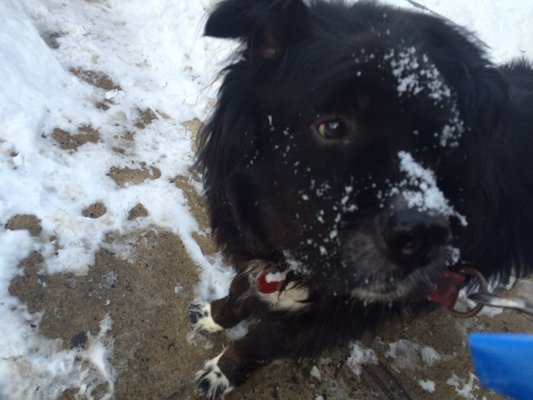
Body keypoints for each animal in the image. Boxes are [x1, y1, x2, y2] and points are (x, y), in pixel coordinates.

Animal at [187, 1, 532, 398]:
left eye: (443, 141)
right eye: (332, 126)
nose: (424, 238)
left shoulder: (326, 319)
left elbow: (257, 344)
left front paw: (223, 372)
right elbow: (239, 291)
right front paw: (215, 317)